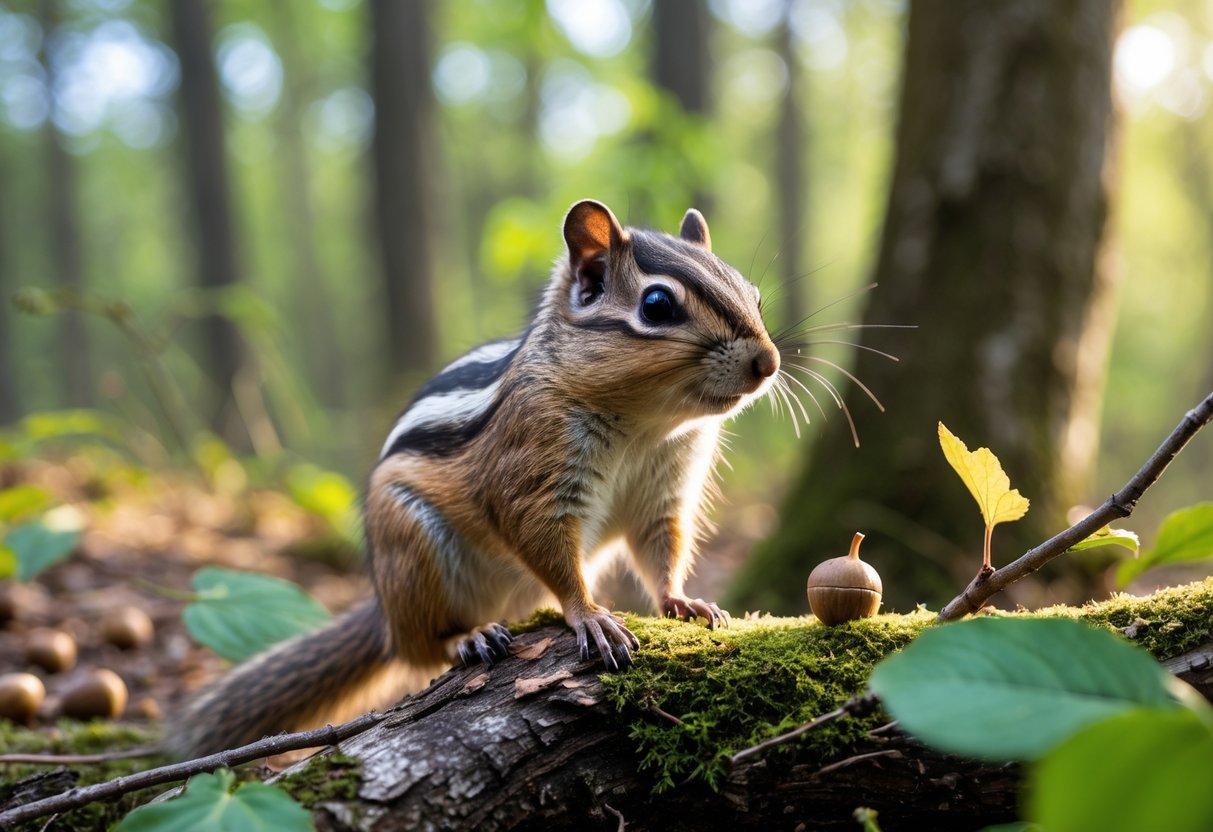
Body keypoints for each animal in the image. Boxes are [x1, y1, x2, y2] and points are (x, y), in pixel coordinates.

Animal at [169, 200, 781, 757]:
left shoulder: (664, 492)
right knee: (417, 648)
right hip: (412, 551)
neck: (646, 425)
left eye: (753, 294)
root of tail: (383, 612)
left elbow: (662, 548)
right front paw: (590, 615)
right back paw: (468, 635)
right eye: (657, 305)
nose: (769, 363)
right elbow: (546, 546)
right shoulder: (530, 476)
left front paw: (684, 601)